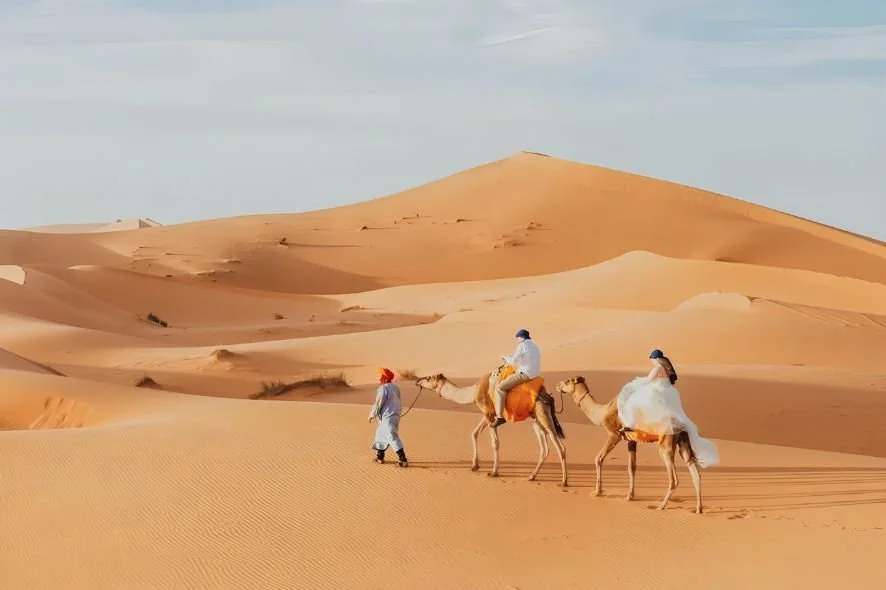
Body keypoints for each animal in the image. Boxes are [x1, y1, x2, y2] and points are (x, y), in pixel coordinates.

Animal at [415, 366, 568, 486]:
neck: (474, 390)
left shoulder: (488, 413)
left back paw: (564, 482)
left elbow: (495, 443)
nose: (417, 381)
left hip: (542, 412)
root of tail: (546, 393)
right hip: (537, 420)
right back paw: (532, 476)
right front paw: (475, 465)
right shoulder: (488, 414)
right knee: (544, 448)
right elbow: (474, 433)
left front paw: (494, 472)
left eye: (428, 378)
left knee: (560, 447)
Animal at [555, 375, 703, 513]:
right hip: (682, 441)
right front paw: (629, 496)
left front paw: (597, 491)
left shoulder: (614, 434)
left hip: (666, 441)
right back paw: (698, 509)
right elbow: (632, 467)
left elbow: (598, 458)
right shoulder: (631, 440)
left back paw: (661, 506)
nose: (558, 385)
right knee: (695, 472)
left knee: (673, 478)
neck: (603, 412)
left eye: (567, 381)